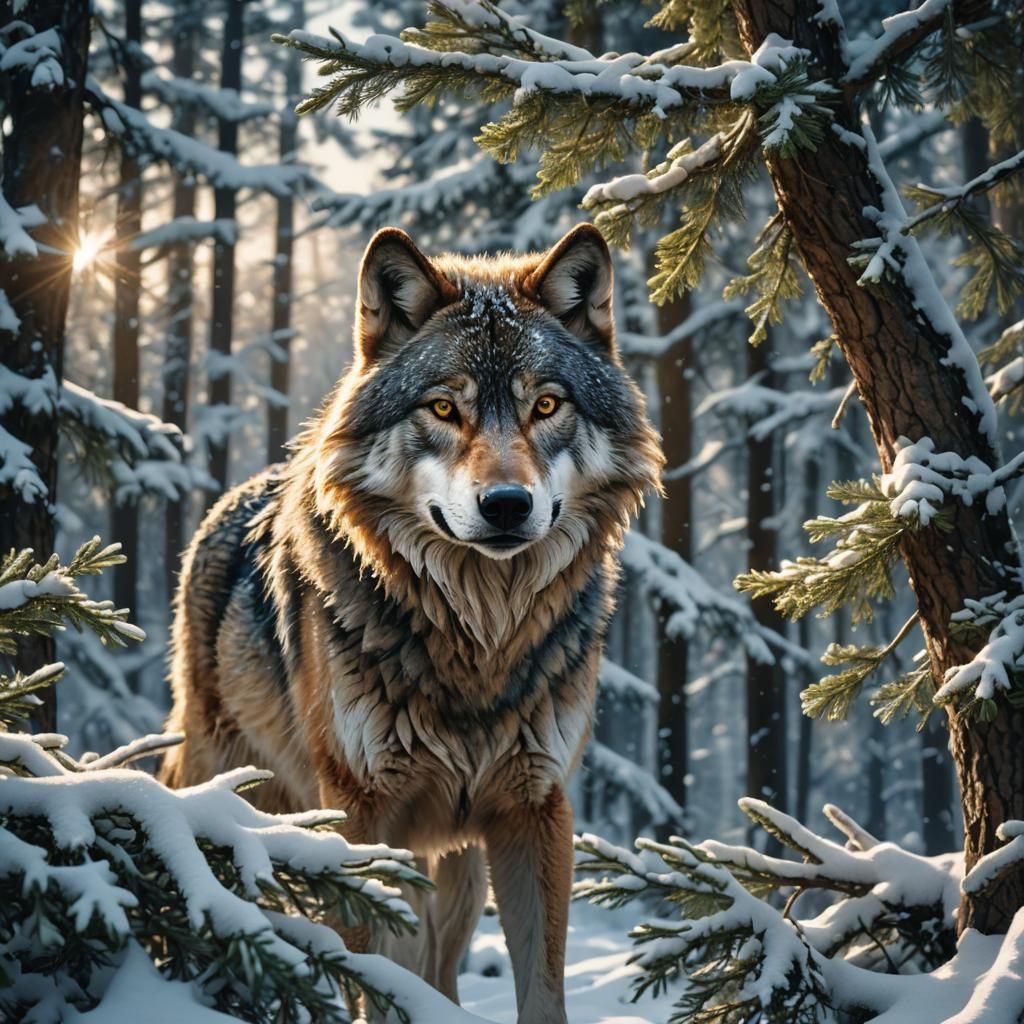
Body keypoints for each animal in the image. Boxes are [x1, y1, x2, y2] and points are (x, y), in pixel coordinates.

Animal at [161, 223, 663, 1023]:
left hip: (456, 872)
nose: (507, 504)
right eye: (444, 409)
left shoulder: (536, 808)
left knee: (439, 966)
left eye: (547, 406)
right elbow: (373, 975)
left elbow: (541, 985)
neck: (478, 639)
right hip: (235, 795)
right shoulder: (361, 809)